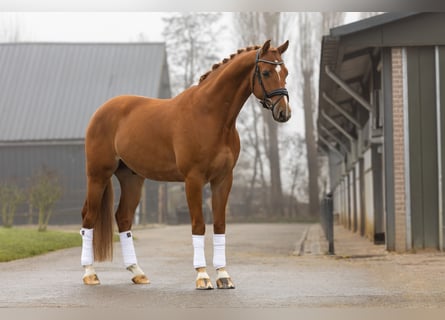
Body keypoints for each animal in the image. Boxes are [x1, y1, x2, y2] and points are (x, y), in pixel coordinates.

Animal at [78, 38, 290, 288]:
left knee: (123, 218)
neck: (210, 116)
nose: (284, 112)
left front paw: (223, 275)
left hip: (132, 178)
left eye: (285, 72)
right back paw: (90, 273)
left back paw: (137, 272)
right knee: (89, 217)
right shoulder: (194, 179)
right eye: (266, 72)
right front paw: (203, 276)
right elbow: (198, 224)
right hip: (98, 175)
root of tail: (102, 111)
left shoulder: (223, 179)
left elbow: (220, 224)